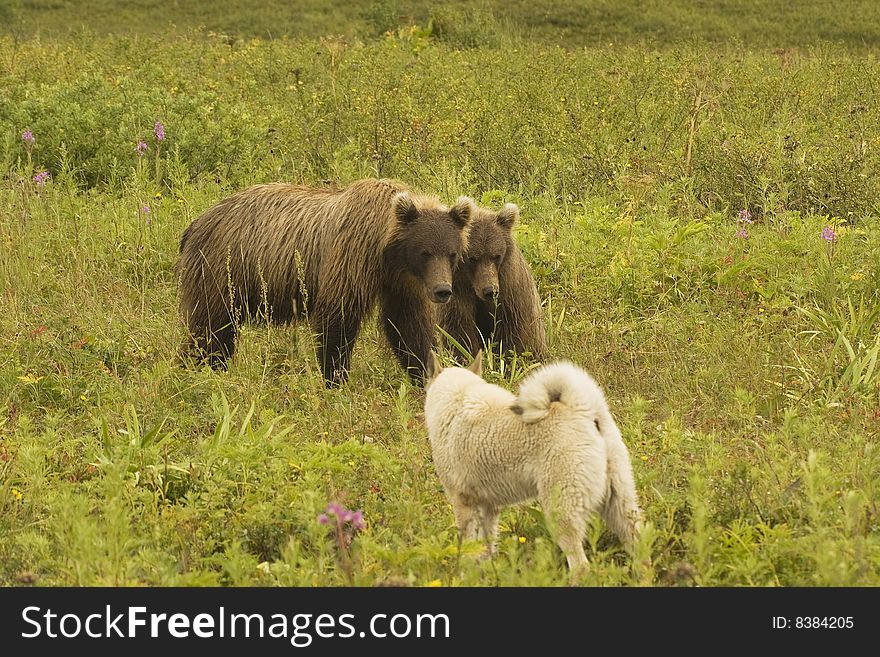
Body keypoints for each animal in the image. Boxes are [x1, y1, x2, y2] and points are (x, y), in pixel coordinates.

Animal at [174, 178, 470, 384]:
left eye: (452, 253)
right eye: (425, 252)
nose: (443, 290)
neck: (386, 250)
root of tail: (194, 224)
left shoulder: (401, 282)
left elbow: (408, 326)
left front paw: (426, 372)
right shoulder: (351, 255)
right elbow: (337, 318)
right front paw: (335, 378)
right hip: (223, 269)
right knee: (210, 328)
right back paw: (193, 369)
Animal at [422, 352, 644, 572]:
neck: (456, 399)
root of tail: (583, 411)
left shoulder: (463, 503)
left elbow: (467, 548)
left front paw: (465, 574)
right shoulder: (489, 507)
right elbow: (486, 547)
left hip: (561, 513)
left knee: (580, 566)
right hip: (621, 507)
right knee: (640, 548)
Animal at [436, 202, 548, 362]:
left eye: (496, 256)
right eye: (473, 258)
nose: (490, 290)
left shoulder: (511, 287)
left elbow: (513, 330)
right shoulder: (457, 289)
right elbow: (459, 329)